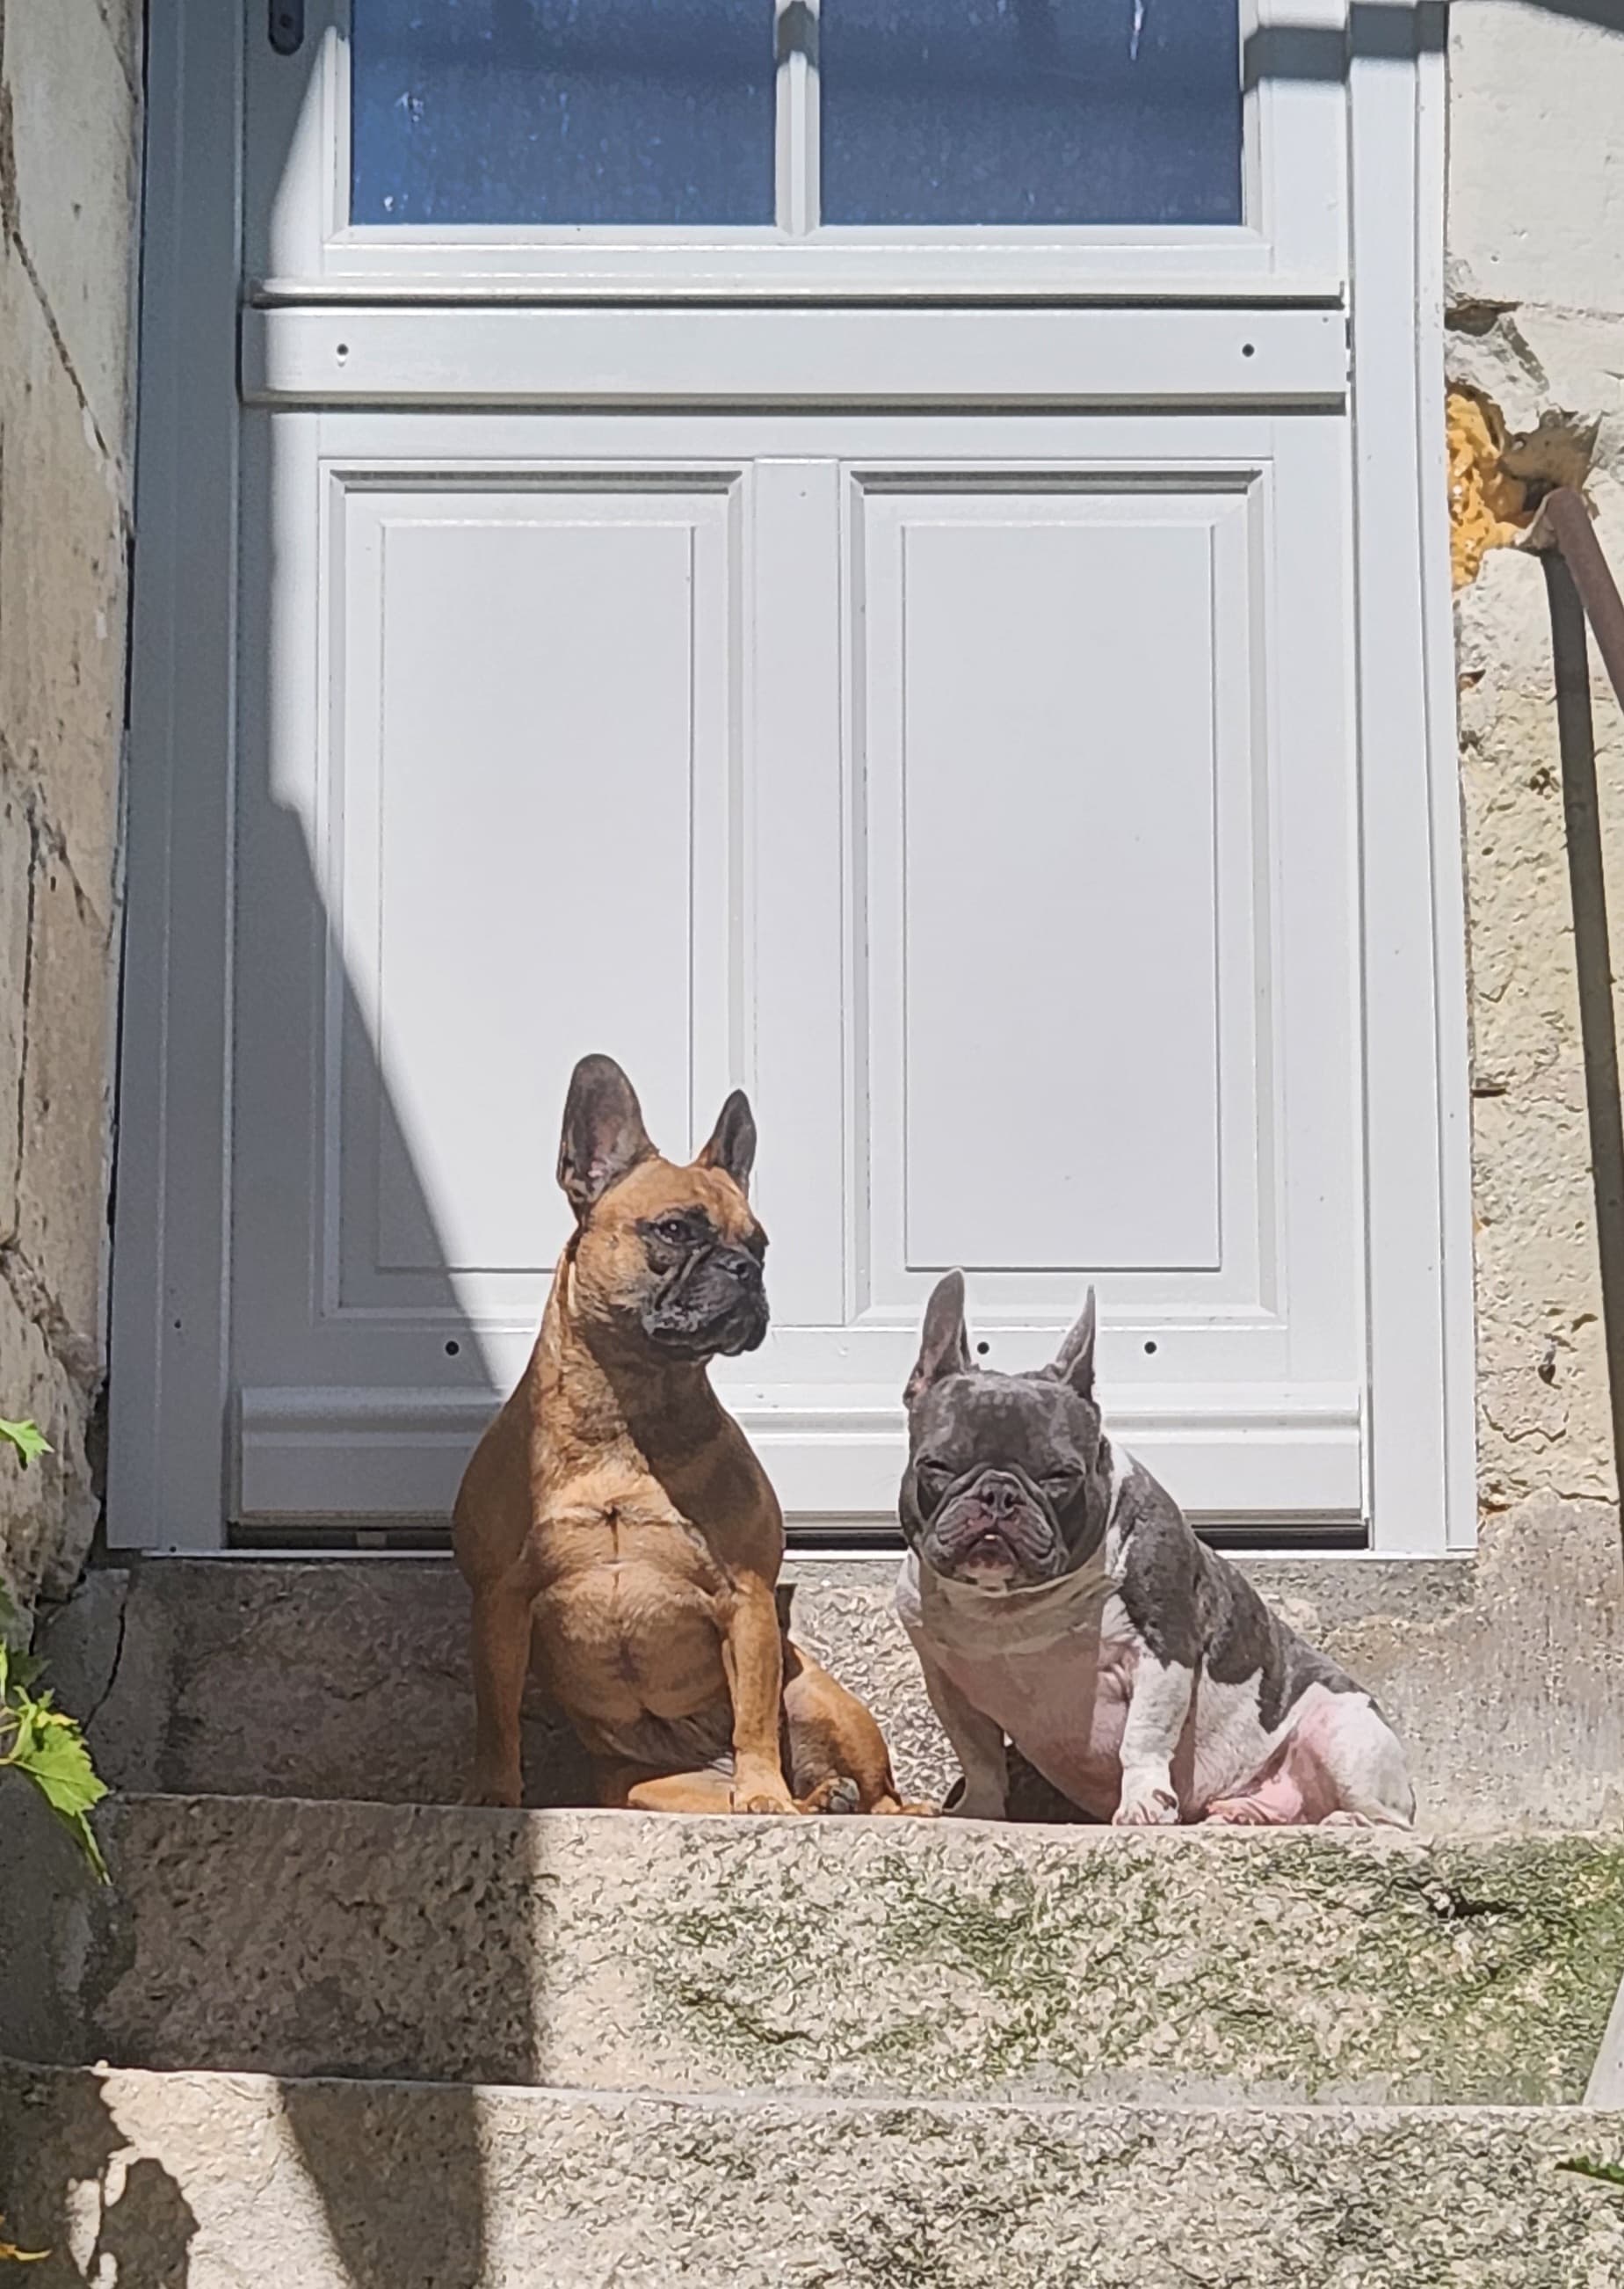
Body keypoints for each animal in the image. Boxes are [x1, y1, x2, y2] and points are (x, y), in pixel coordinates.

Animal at [454, 1052, 922, 1817]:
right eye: (675, 1230)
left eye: (760, 1243)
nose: (747, 1269)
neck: (629, 1407)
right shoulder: (499, 1599)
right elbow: (496, 1717)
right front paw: (494, 1792)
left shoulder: (748, 1600)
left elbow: (754, 1713)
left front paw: (762, 1796)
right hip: (648, 1789)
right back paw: (815, 1799)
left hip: (823, 1697)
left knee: (870, 1786)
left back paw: (830, 1800)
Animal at [894, 1271, 1415, 1829]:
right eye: (937, 1466)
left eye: (1060, 1476)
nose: (998, 1494)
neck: (1008, 1610)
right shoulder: (947, 1682)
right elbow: (978, 1753)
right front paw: (980, 1809)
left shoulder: (1163, 1650)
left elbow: (1142, 1738)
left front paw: (1143, 1803)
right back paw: (1244, 1813)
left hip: (1344, 1735)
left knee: (1390, 1820)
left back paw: (1344, 1821)